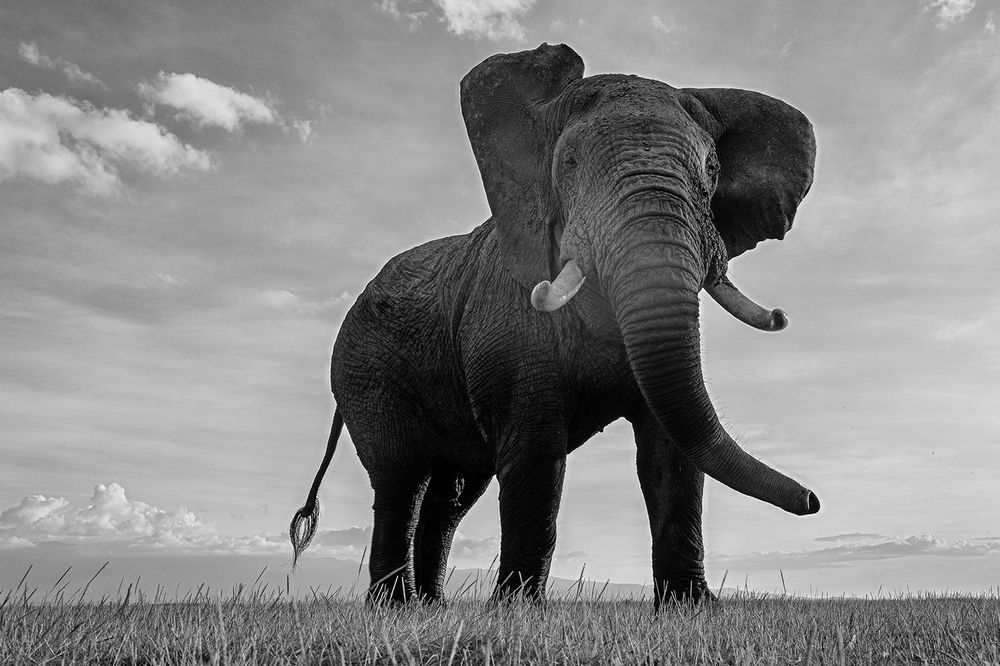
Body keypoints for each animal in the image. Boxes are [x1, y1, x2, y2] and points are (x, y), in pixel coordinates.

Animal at [290, 43, 820, 607]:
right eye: (568, 164)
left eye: (713, 168)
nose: (812, 499)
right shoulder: (508, 322)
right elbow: (536, 453)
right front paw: (517, 610)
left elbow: (671, 453)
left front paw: (692, 608)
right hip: (364, 373)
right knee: (400, 482)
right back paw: (395, 607)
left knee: (453, 494)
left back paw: (430, 607)